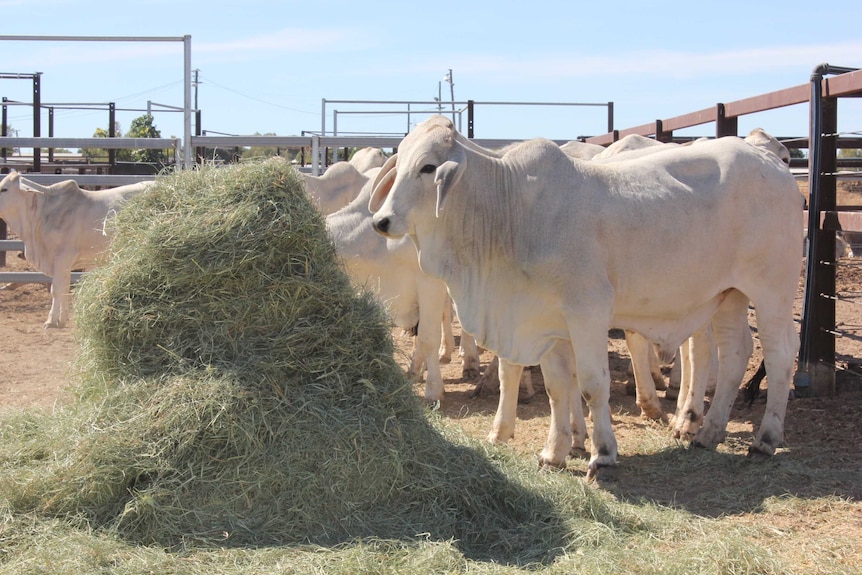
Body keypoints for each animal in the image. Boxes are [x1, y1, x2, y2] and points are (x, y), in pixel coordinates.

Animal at [0, 171, 154, 328]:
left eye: (4, 189)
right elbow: (64, 289)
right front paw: (61, 320)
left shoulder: (63, 257)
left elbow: (56, 290)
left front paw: (51, 321)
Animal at [370, 116, 804, 476]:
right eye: (401, 162)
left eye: (428, 167)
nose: (381, 221)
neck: (510, 213)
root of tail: (773, 163)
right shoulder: (546, 323)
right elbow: (557, 389)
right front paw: (554, 452)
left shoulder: (588, 313)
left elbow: (593, 385)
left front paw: (603, 453)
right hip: (729, 295)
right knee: (734, 353)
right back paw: (708, 433)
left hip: (772, 290)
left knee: (780, 355)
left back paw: (765, 440)